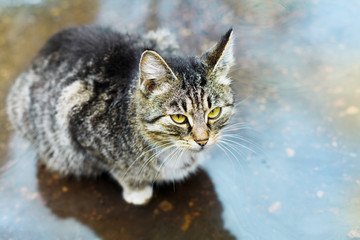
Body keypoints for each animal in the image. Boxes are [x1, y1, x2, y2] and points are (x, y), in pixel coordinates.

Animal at [7, 26, 236, 206]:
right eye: (178, 118)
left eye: (214, 112)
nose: (203, 141)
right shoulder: (78, 123)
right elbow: (119, 168)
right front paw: (137, 190)